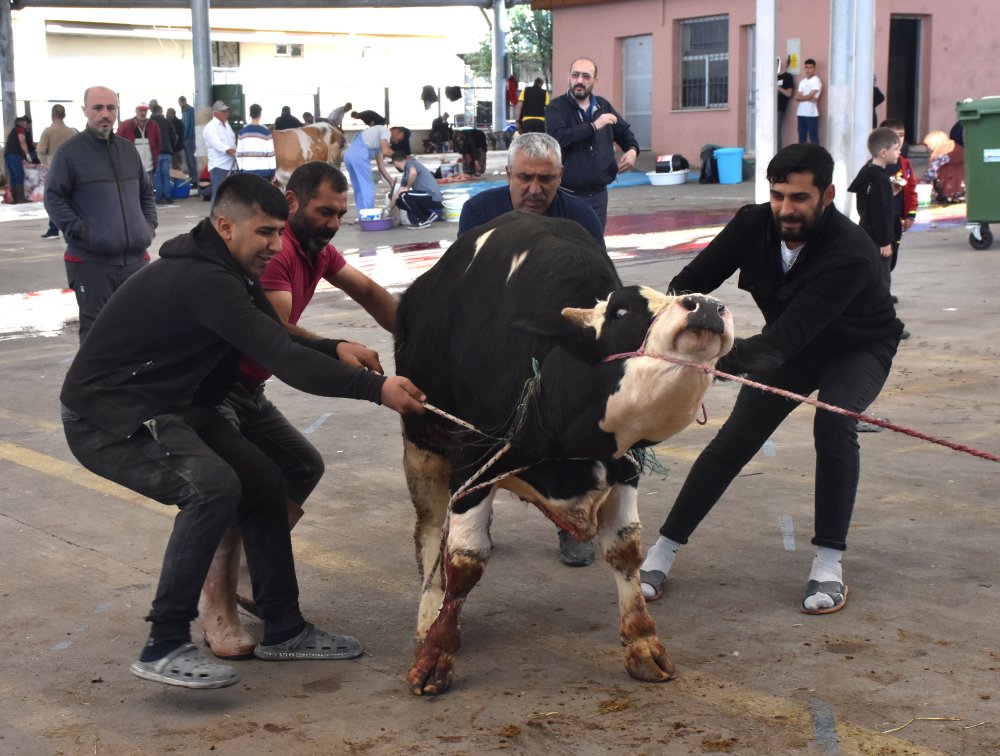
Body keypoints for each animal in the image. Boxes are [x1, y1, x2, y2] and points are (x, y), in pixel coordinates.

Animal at [396, 213, 736, 696]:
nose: (705, 304)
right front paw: (436, 653)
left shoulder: (623, 464)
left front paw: (643, 643)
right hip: (422, 447)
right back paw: (427, 614)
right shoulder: (472, 456)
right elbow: (464, 560)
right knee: (428, 533)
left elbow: (625, 549)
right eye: (621, 311)